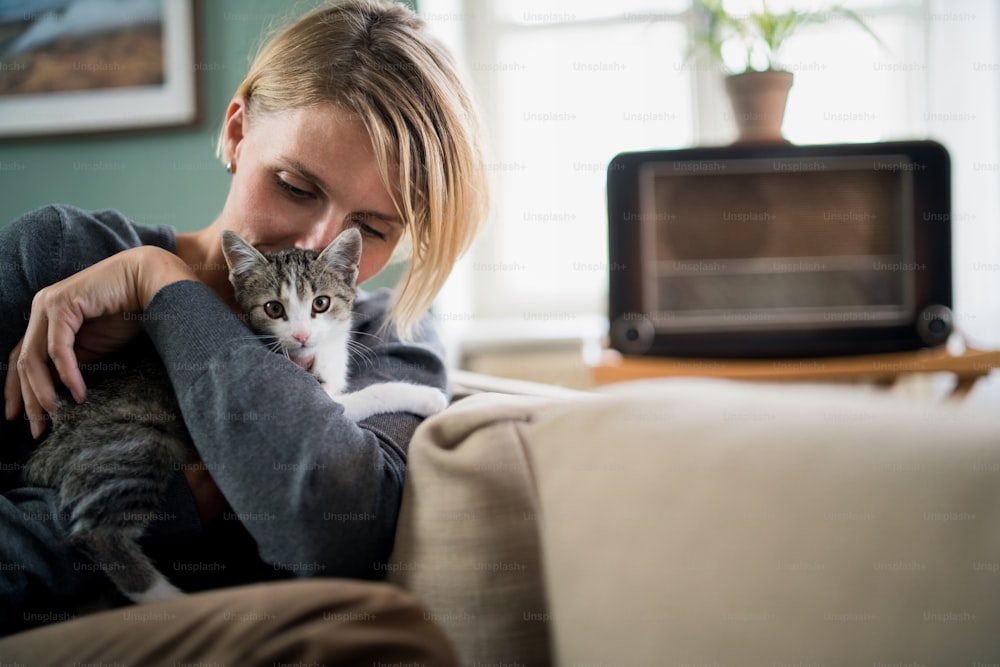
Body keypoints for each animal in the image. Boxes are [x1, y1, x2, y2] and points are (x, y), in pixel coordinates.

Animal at [23, 230, 448, 604]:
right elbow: (362, 396)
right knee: (94, 533)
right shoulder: (310, 390)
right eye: (274, 308)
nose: (302, 336)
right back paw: (169, 599)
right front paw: (427, 396)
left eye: (321, 304)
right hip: (134, 443)